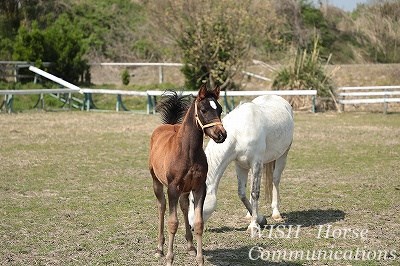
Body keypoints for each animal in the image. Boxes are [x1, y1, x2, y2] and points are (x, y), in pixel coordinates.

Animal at [188, 94, 294, 236]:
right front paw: (259, 218)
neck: (239, 133)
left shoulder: (256, 163)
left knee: (275, 180)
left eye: (194, 200)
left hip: (283, 155)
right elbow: (242, 193)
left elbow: (255, 193)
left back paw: (276, 213)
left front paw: (254, 226)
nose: (191, 226)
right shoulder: (240, 165)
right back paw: (250, 215)